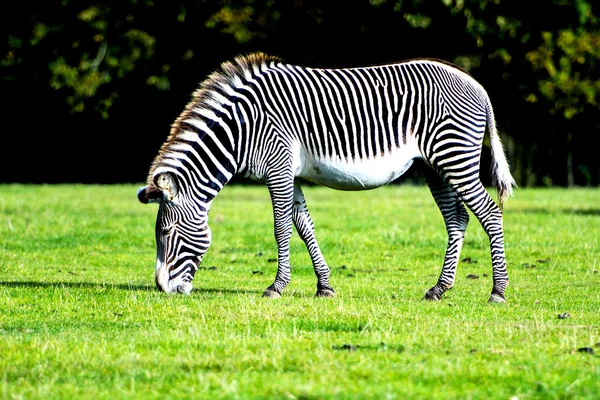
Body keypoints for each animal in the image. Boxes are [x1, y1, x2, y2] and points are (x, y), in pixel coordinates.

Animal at [136, 52, 516, 304]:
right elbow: (304, 226)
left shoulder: (277, 166)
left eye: (165, 233)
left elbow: (281, 228)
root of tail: (477, 85)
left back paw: (497, 291)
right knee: (458, 219)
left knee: (489, 213)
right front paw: (324, 286)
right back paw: (439, 288)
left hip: (453, 156)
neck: (242, 129)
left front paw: (276, 287)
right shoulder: (290, 172)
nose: (163, 289)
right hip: (434, 165)